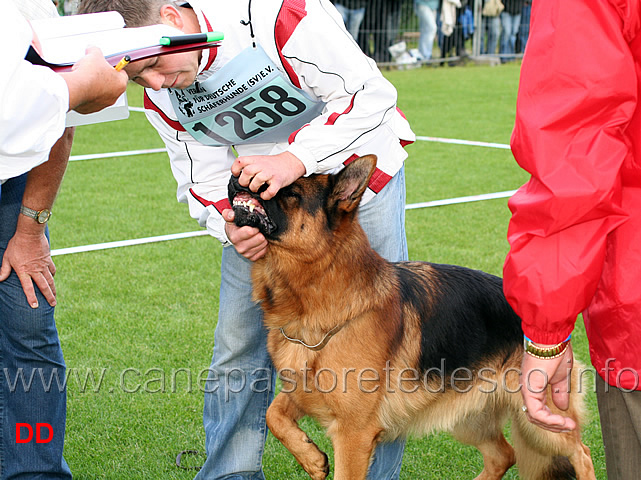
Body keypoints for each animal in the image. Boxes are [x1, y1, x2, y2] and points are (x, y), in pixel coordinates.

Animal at [228, 156, 592, 478]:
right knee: (504, 456)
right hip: (468, 417)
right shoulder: (301, 394)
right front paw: (311, 457)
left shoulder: (353, 435)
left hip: (540, 421)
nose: (237, 173)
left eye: (289, 191)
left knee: (581, 453)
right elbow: (273, 415)